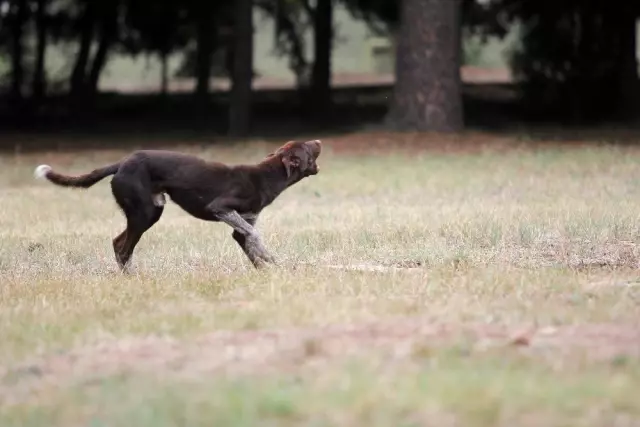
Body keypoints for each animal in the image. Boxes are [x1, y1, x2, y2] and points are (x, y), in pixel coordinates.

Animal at [33, 140, 322, 270]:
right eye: (308, 148)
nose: (318, 140)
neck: (269, 174)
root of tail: (122, 163)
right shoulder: (221, 208)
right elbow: (255, 236)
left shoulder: (243, 222)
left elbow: (251, 244)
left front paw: (269, 267)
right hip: (144, 212)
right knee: (124, 247)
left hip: (150, 211)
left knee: (118, 243)